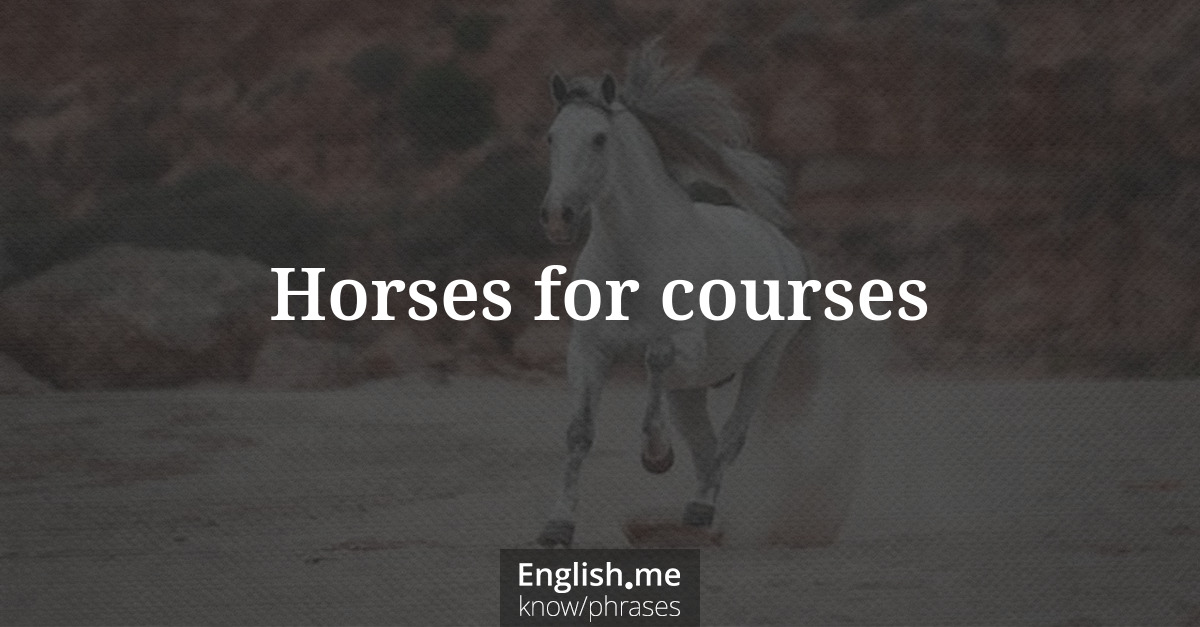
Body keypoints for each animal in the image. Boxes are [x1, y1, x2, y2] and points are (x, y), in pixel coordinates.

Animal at [536, 44, 817, 548]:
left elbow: (655, 358)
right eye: (552, 138)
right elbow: (579, 433)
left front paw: (656, 455)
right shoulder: (588, 351)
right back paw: (696, 518)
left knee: (730, 438)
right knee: (706, 446)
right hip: (693, 389)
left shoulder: (685, 346)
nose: (557, 218)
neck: (633, 265)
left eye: (599, 139)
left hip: (764, 361)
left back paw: (701, 508)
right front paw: (557, 525)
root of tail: (782, 246)